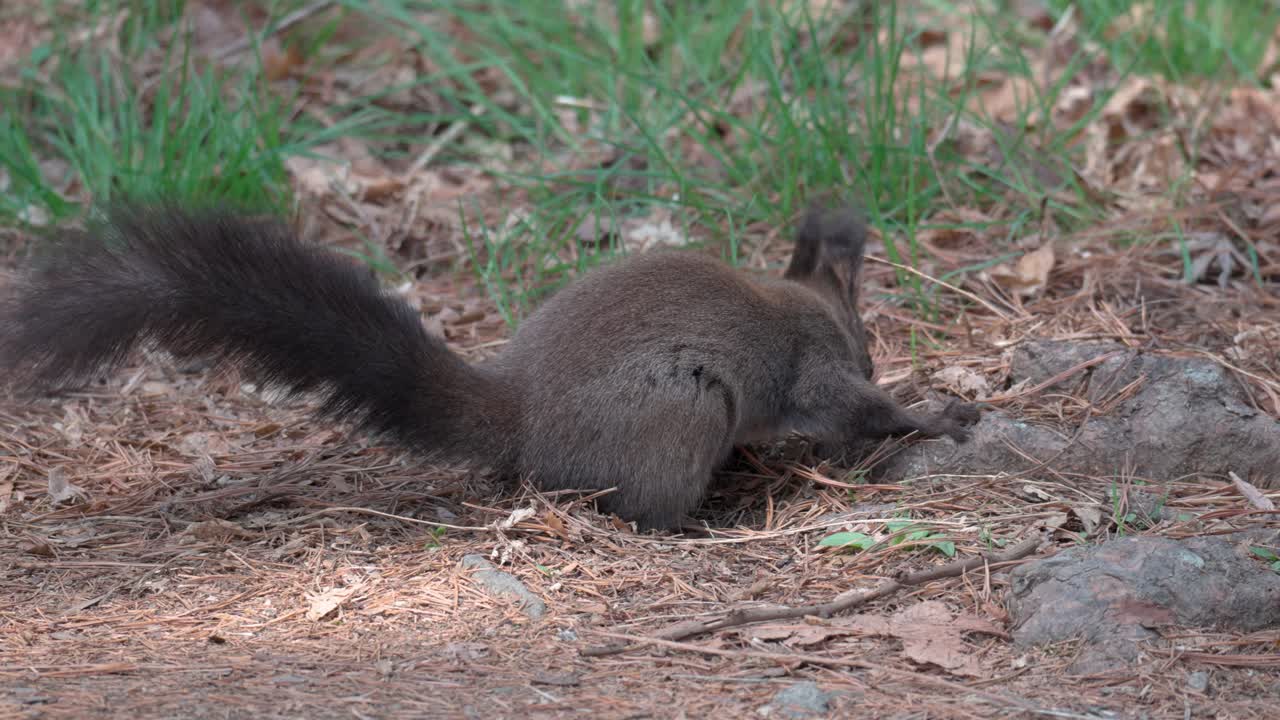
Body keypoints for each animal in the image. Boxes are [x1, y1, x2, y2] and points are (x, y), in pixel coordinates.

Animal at [0, 202, 980, 530]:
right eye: (871, 343)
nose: (877, 351)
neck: (807, 307)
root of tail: (521, 418)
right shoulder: (813, 372)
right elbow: (853, 408)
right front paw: (937, 414)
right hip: (679, 408)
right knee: (642, 509)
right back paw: (707, 518)